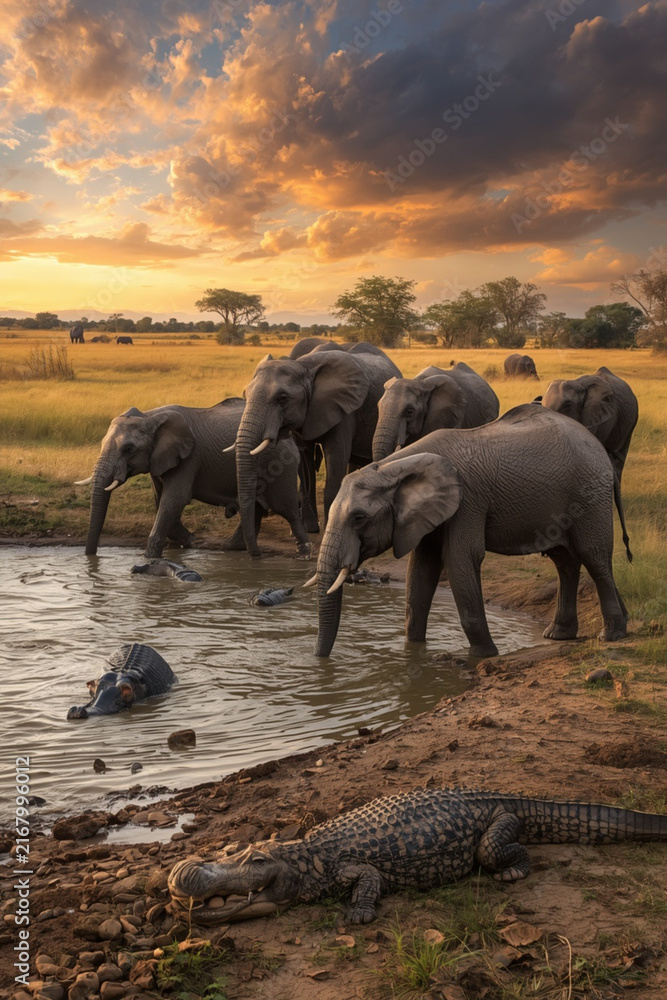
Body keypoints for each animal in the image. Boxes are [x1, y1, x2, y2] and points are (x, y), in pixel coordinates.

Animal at [76, 398, 310, 559]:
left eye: (129, 448)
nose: (91, 555)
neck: (150, 416)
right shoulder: (159, 460)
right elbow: (161, 499)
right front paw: (188, 541)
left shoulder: (189, 458)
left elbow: (174, 500)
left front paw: (150, 558)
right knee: (256, 508)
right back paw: (233, 548)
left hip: (281, 464)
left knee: (286, 508)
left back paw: (303, 553)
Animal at [230, 348, 402, 556]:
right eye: (245, 394)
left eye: (282, 398)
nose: (255, 554)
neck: (303, 367)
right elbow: (304, 463)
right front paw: (310, 527)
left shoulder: (344, 410)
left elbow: (336, 457)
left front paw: (328, 526)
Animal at [312, 404, 628, 659]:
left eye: (359, 518)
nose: (318, 661)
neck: (397, 465)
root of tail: (601, 451)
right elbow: (421, 570)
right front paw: (413, 651)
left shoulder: (468, 502)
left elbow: (459, 560)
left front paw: (483, 655)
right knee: (564, 561)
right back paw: (560, 635)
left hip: (588, 495)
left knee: (594, 556)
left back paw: (611, 636)